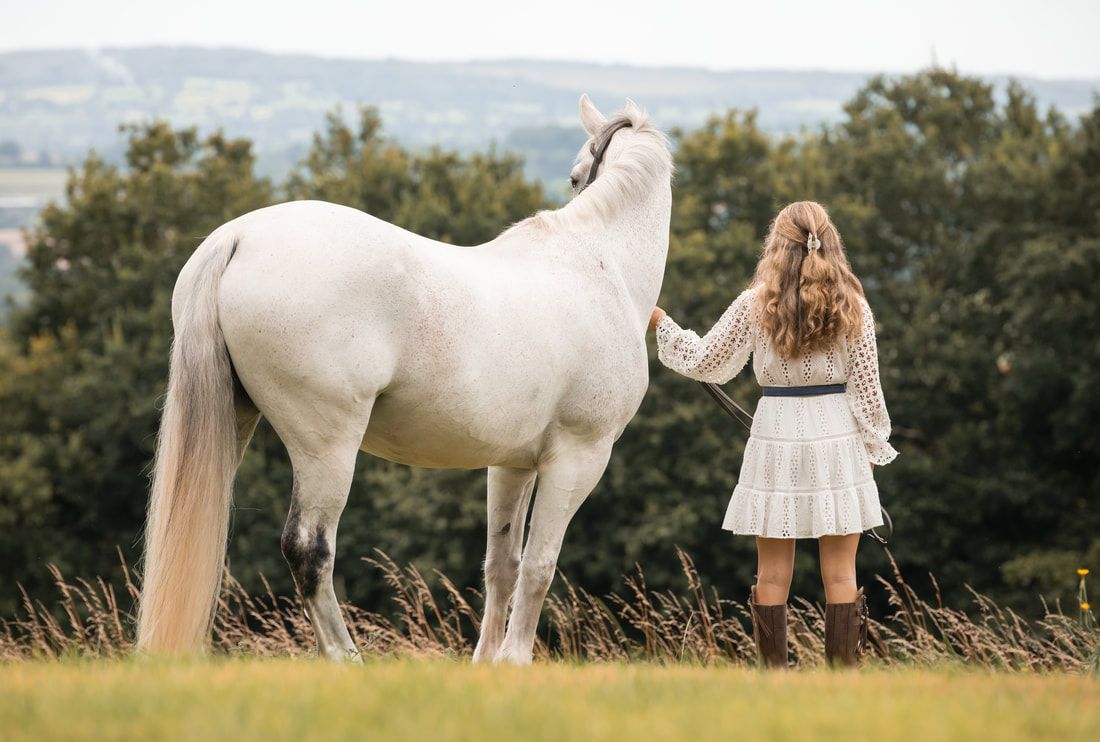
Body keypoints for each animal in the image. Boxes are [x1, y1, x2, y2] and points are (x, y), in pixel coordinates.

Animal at [136, 95, 673, 664]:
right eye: (575, 175)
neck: (601, 264)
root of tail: (236, 238)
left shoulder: (512, 464)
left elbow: (502, 566)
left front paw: (488, 664)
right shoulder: (578, 458)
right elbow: (539, 566)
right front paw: (516, 660)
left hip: (236, 421)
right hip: (327, 445)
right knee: (308, 548)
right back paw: (346, 659)